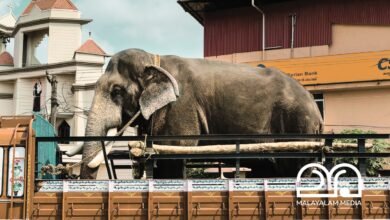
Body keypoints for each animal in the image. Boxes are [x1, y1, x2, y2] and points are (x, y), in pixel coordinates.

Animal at [68, 49, 322, 180]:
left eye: (116, 91)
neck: (155, 59)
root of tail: (315, 105)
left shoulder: (180, 106)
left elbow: (174, 151)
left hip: (298, 125)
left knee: (292, 168)